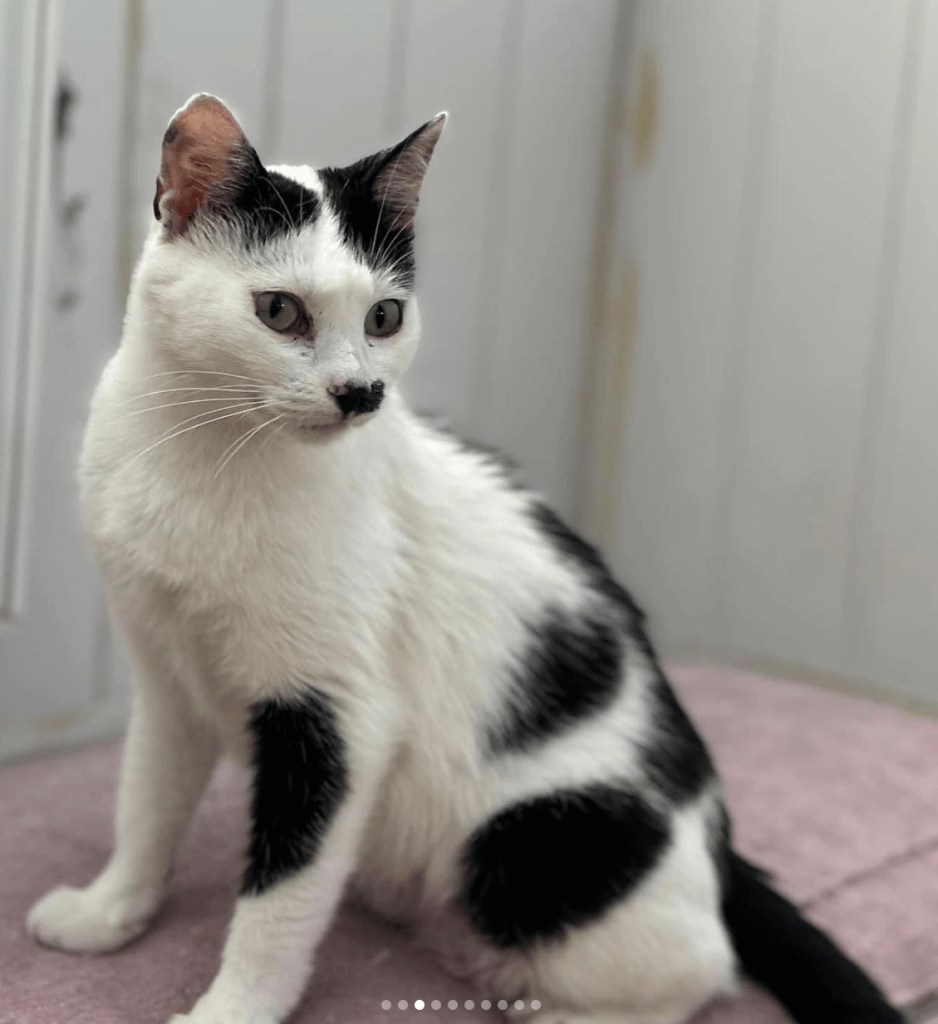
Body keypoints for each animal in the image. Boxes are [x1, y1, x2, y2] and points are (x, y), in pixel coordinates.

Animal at [27, 94, 901, 1024]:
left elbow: (280, 895)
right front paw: (108, 909)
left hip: (540, 832)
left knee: (700, 968)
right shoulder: (167, 680)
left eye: (384, 317)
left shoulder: (342, 720)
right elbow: (145, 803)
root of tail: (716, 837)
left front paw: (233, 1008)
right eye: (280, 311)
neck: (210, 455)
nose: (360, 393)